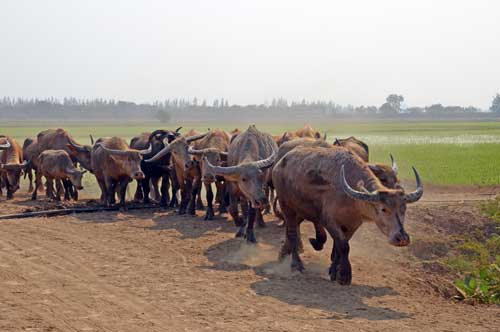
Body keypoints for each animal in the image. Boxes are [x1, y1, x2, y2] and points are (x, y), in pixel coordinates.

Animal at [274, 147, 422, 284]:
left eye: (404, 208)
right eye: (383, 209)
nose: (402, 238)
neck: (350, 198)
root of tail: (280, 163)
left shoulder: (352, 225)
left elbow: (339, 247)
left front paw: (334, 271)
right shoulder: (329, 221)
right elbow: (344, 246)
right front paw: (345, 275)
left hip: (301, 210)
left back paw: (283, 254)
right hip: (287, 206)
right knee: (292, 232)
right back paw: (296, 265)